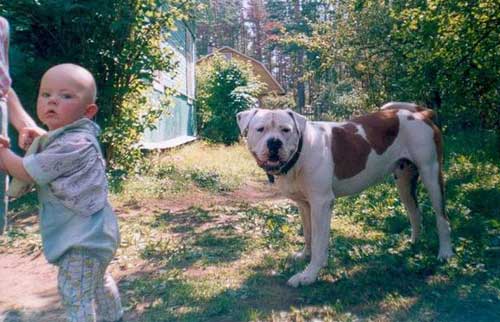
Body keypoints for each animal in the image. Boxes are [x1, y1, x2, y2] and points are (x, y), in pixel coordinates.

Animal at [237, 102, 454, 286]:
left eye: (286, 130)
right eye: (260, 129)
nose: (274, 142)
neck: (301, 151)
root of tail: (421, 113)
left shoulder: (321, 203)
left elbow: (319, 241)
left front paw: (309, 275)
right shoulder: (305, 204)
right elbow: (308, 234)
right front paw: (305, 256)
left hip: (431, 173)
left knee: (442, 218)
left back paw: (445, 252)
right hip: (403, 181)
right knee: (415, 213)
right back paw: (413, 243)